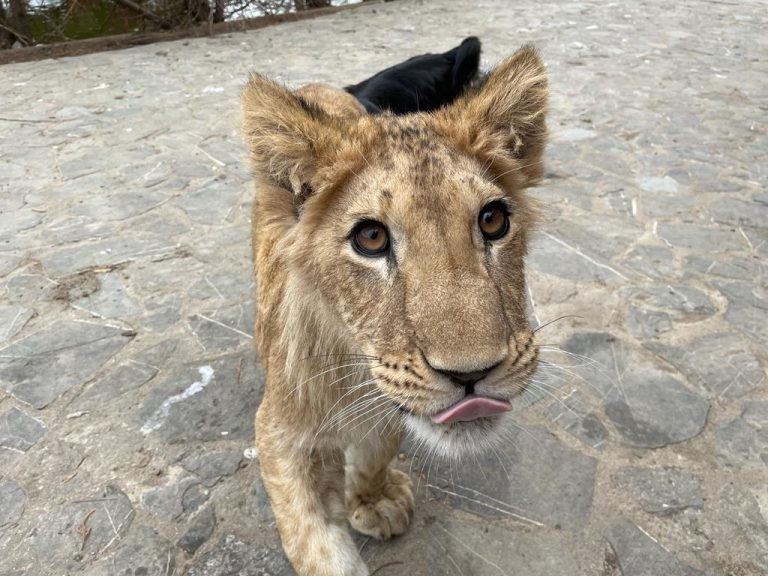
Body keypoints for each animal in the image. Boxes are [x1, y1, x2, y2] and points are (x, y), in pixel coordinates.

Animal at [241, 45, 548, 576]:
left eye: (493, 220)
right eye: (371, 237)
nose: (472, 375)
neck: (353, 361)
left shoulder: (390, 405)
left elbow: (378, 448)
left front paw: (373, 499)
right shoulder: (280, 427)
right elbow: (315, 542)